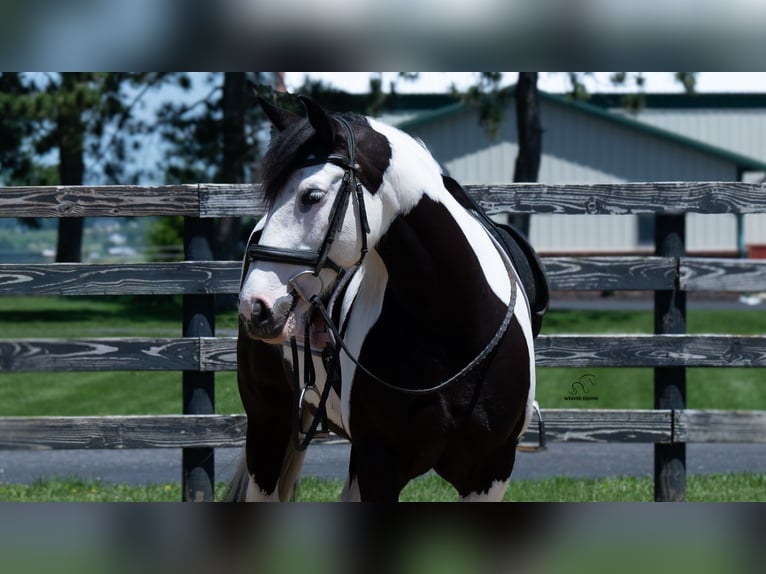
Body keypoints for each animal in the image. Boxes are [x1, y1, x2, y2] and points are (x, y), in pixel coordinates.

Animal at [227, 95, 548, 502]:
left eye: (311, 195)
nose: (255, 305)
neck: (451, 323)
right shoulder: (379, 463)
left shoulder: (492, 469)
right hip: (268, 424)